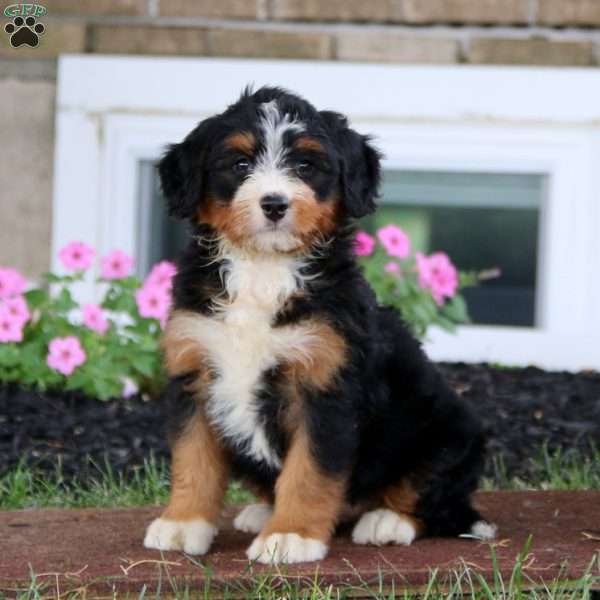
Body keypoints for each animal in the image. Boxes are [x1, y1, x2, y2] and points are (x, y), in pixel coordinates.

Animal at [143, 86, 494, 564]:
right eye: (240, 164)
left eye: (306, 166)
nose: (274, 204)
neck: (263, 270)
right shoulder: (194, 371)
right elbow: (192, 460)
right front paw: (183, 524)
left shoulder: (325, 386)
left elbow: (309, 471)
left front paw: (290, 536)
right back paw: (260, 511)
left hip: (445, 432)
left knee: (436, 501)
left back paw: (387, 521)